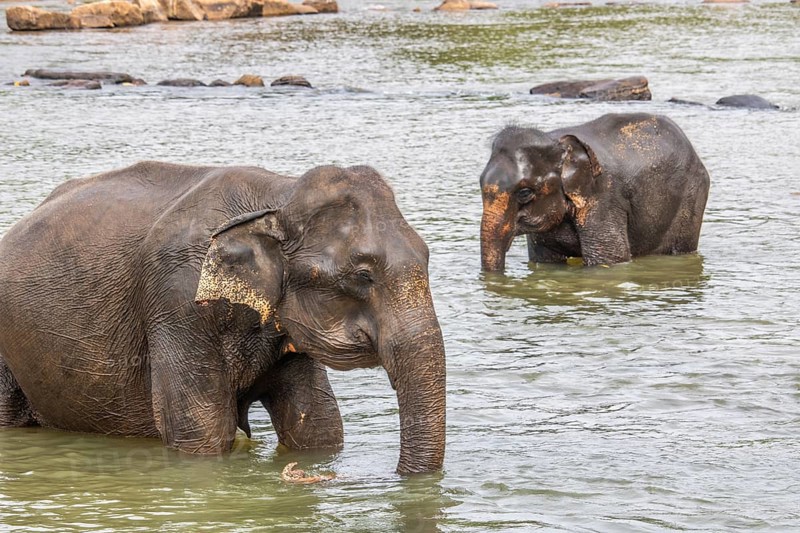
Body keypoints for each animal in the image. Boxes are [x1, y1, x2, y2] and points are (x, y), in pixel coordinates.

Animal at [0, 161, 445, 475]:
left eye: (427, 256)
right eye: (362, 276)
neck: (277, 196)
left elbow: (317, 424)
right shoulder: (176, 299)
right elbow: (200, 430)